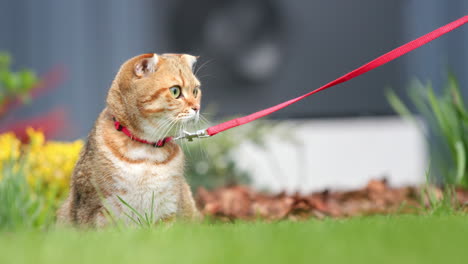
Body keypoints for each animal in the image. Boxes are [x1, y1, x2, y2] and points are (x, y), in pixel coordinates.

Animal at [56, 53, 201, 227]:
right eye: (175, 91)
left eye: (195, 91)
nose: (197, 108)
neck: (147, 152)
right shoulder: (95, 209)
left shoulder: (168, 211)